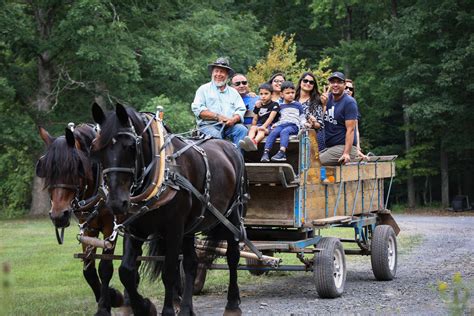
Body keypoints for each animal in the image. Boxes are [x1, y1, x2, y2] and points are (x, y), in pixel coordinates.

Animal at [36, 124, 124, 314]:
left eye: (75, 168)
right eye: (46, 170)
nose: (58, 215)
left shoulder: (110, 226)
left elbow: (105, 268)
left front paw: (104, 307)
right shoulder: (89, 226)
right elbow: (88, 270)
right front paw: (110, 298)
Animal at [92, 102, 248, 314]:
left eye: (131, 146)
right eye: (97, 149)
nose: (116, 202)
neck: (160, 174)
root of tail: (229, 145)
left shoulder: (174, 229)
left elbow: (169, 272)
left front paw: (165, 310)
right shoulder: (135, 230)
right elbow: (126, 271)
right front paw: (143, 307)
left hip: (231, 216)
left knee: (233, 256)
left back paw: (232, 303)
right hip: (190, 227)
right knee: (191, 263)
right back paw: (187, 309)